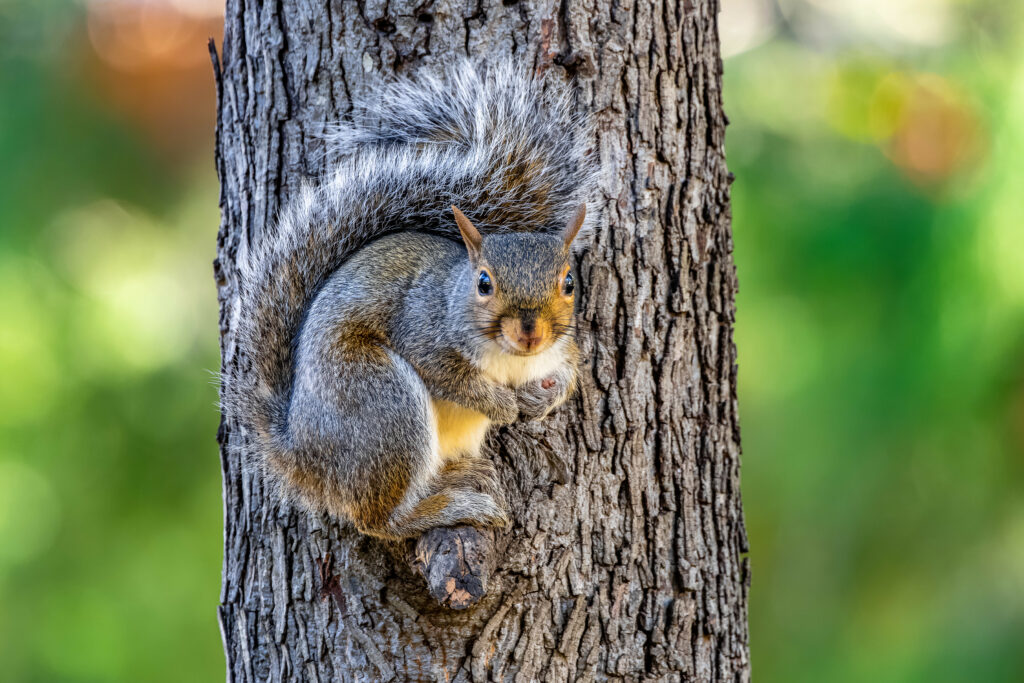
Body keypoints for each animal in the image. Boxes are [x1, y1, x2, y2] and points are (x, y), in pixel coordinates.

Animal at [224, 61, 596, 540]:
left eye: (568, 283)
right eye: (484, 283)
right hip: (382, 403)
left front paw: (543, 397)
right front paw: (503, 404)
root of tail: (303, 453)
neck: (512, 359)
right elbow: (449, 375)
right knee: (380, 520)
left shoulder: (560, 346)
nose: (530, 333)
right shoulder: (421, 327)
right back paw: (448, 507)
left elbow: (569, 369)